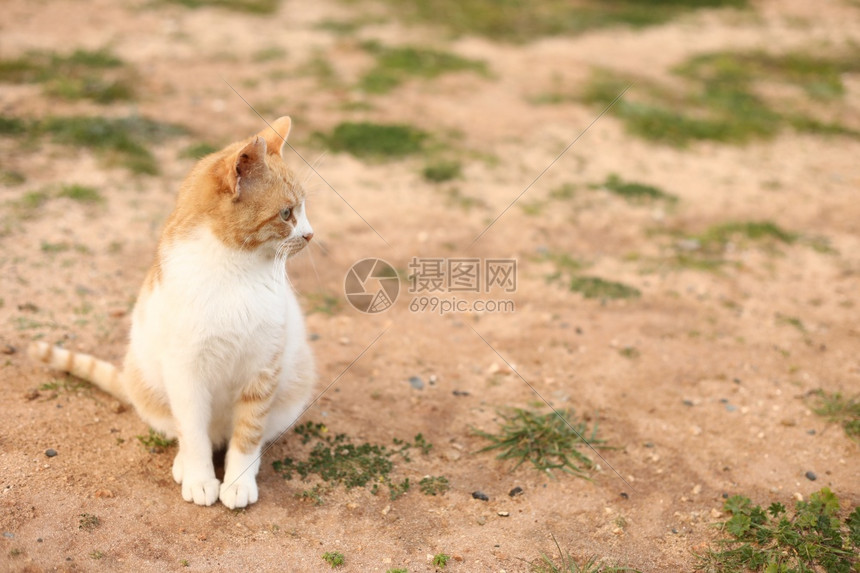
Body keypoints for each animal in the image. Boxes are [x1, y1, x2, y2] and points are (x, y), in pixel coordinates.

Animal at [26, 114, 318, 508]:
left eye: (302, 210)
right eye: (287, 213)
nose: (310, 234)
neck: (236, 269)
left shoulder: (263, 368)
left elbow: (248, 434)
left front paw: (238, 482)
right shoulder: (185, 372)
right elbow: (192, 432)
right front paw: (199, 477)